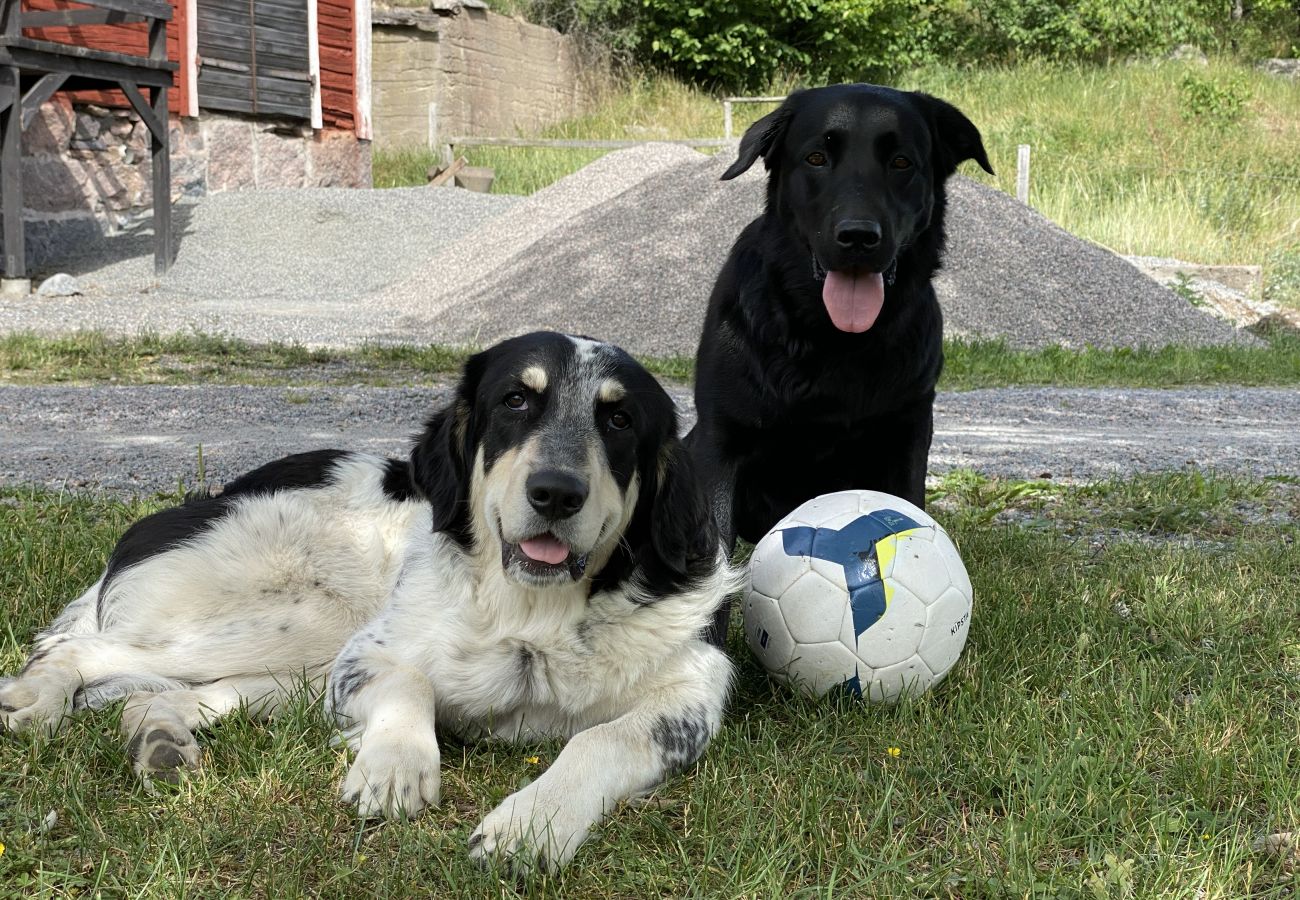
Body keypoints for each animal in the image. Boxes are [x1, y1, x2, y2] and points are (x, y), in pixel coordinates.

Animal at [0, 331, 733, 873]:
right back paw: (36, 701)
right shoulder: (365, 654)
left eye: (619, 419)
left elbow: (602, 736)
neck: (532, 614)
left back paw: (160, 739)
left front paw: (533, 824)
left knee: (166, 693)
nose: (555, 492)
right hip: (303, 620)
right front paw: (395, 766)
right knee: (74, 647)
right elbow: (410, 686)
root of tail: (194, 503)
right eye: (515, 402)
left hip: (298, 663)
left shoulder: (690, 701)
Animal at [696, 84, 987, 639]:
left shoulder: (907, 430)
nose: (858, 237)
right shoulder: (721, 443)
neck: (834, 341)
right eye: (816, 158)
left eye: (901, 162)